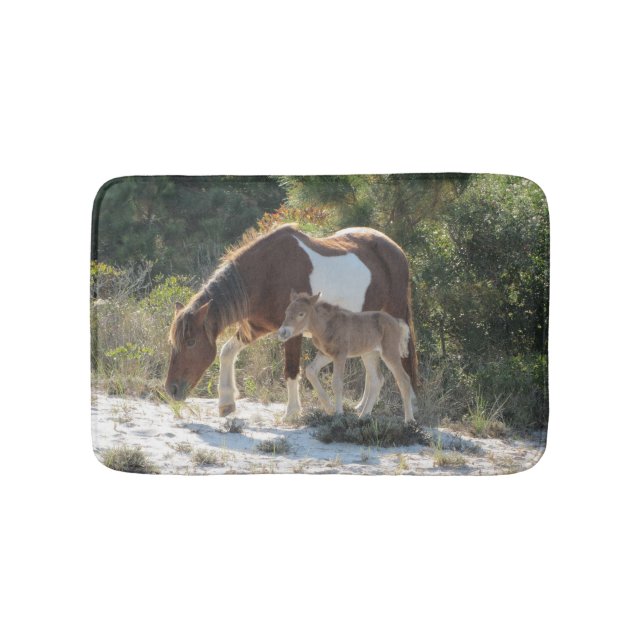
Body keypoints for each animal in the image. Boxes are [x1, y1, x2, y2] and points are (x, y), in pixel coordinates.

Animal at [278, 291, 416, 422]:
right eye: (286, 312)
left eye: (301, 314)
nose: (283, 332)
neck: (325, 326)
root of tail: (397, 321)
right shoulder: (326, 354)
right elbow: (310, 371)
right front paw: (329, 408)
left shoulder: (340, 355)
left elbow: (337, 383)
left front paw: (339, 413)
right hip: (369, 354)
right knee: (377, 380)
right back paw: (363, 416)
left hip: (389, 352)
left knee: (403, 379)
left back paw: (409, 420)